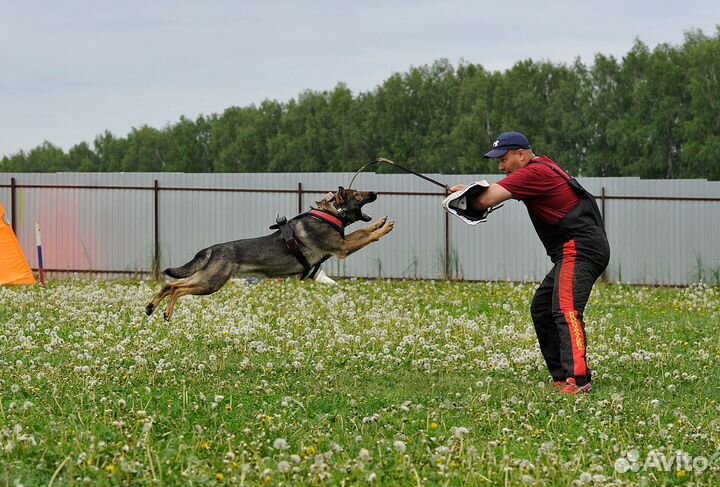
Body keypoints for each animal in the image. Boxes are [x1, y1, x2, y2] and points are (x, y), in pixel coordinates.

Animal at [145, 187, 394, 320]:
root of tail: (212, 248)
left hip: (207, 278)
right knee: (177, 288)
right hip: (211, 283)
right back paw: (166, 312)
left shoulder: (343, 244)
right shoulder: (343, 248)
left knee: (170, 284)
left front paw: (380, 223)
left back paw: (151, 306)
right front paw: (384, 228)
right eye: (358, 195)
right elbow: (365, 235)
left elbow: (364, 230)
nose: (375, 192)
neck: (332, 213)